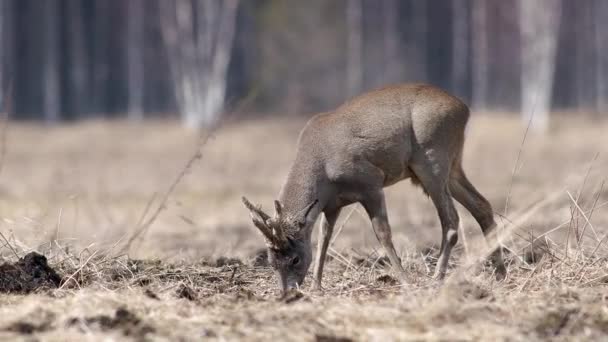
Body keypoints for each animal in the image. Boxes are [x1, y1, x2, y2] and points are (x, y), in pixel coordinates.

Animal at [240, 84, 506, 292]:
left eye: (295, 259)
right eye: (271, 262)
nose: (287, 292)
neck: (321, 166)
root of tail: (464, 108)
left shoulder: (371, 183)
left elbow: (383, 233)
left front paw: (405, 280)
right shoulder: (332, 204)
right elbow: (325, 237)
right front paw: (317, 285)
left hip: (432, 160)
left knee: (451, 219)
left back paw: (437, 277)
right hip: (452, 165)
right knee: (482, 205)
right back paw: (500, 273)